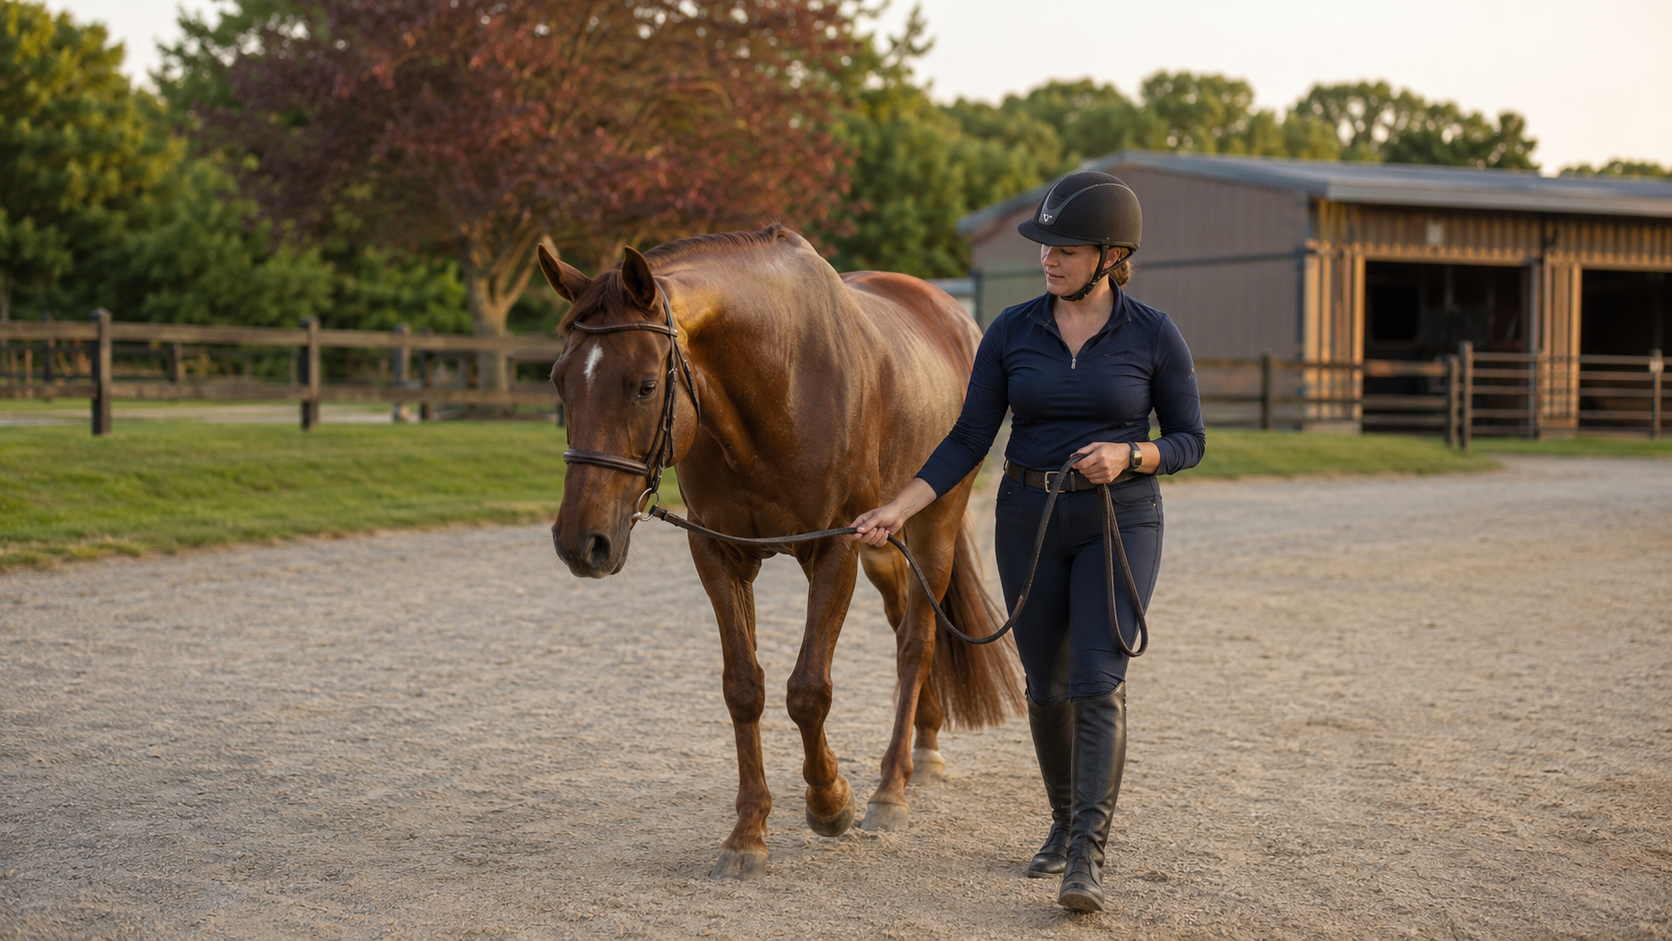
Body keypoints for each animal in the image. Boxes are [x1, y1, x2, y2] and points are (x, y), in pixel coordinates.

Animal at [538, 224, 1022, 880]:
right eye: (560, 381)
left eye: (645, 385)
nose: (580, 542)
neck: (777, 379)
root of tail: (954, 316)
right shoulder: (718, 553)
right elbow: (744, 689)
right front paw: (747, 834)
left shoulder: (836, 549)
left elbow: (808, 690)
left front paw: (831, 800)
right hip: (887, 543)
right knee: (905, 624)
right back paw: (923, 748)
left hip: (933, 526)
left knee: (917, 645)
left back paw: (890, 789)